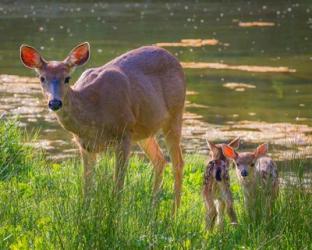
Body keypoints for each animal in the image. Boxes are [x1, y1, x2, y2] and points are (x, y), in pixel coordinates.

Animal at [20, 42, 186, 211]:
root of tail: (174, 59)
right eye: (42, 78)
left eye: (67, 78)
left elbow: (118, 183)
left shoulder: (124, 132)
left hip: (175, 113)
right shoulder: (84, 145)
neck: (93, 115)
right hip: (143, 130)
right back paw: (152, 210)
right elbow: (87, 185)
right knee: (159, 160)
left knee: (178, 163)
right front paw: (85, 211)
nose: (54, 102)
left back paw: (174, 212)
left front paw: (115, 214)